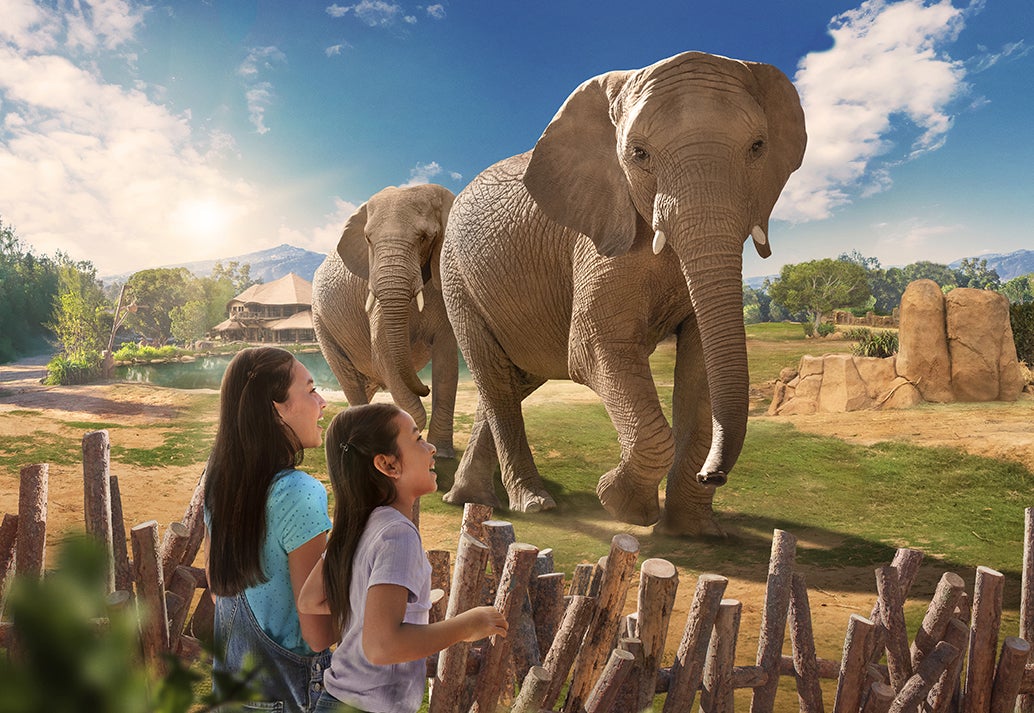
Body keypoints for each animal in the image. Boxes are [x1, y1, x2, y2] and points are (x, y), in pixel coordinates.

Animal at [311, 183, 458, 457]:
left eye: (424, 237)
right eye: (369, 239)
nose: (425, 388)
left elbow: (447, 358)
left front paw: (443, 454)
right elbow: (383, 352)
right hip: (320, 321)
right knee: (348, 377)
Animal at [440, 52, 806, 536]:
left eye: (758, 147)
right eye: (639, 154)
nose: (713, 475)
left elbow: (701, 362)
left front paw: (696, 531)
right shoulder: (599, 236)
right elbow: (594, 347)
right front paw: (624, 506)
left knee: (509, 380)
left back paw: (469, 498)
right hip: (456, 278)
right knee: (495, 377)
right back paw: (533, 504)